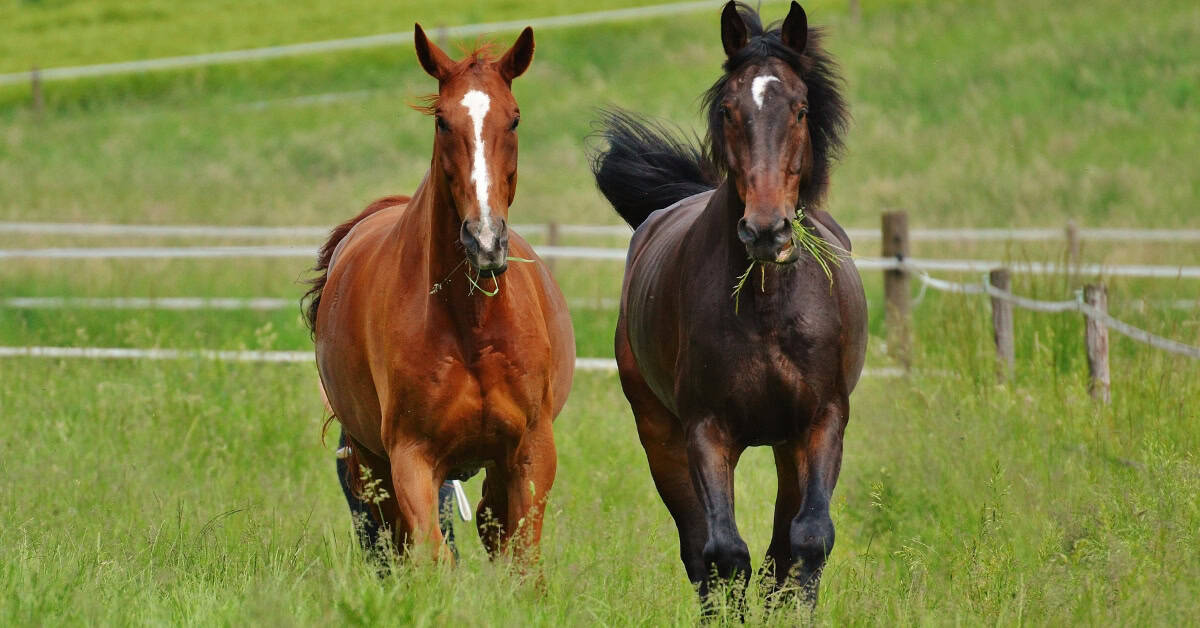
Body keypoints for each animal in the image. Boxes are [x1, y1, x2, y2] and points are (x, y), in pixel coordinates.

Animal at [305, 23, 575, 562]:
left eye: (514, 119)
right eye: (442, 122)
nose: (485, 240)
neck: (471, 327)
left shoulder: (531, 452)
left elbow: (521, 558)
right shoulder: (411, 457)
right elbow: (433, 555)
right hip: (373, 463)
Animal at [591, 1, 865, 609]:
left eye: (801, 108)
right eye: (728, 109)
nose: (766, 230)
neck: (768, 309)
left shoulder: (823, 419)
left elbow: (807, 540)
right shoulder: (706, 430)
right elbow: (723, 553)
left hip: (788, 445)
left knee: (782, 544)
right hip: (660, 436)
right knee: (701, 551)